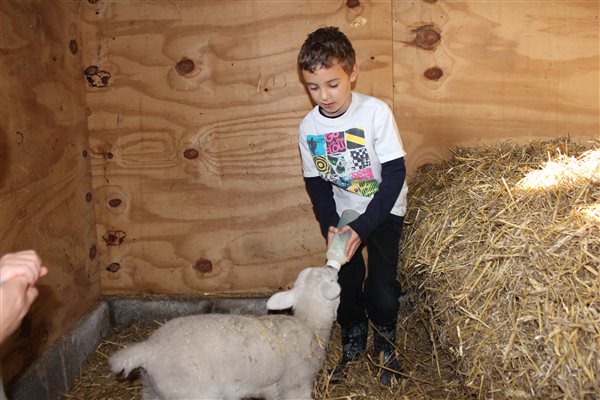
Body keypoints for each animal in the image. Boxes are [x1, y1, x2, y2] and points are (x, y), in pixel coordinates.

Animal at [109, 266, 340, 400]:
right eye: (330, 278)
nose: (332, 266)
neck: (310, 324)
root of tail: (150, 349)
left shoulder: (273, 388)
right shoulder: (295, 384)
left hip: (152, 390)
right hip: (193, 393)